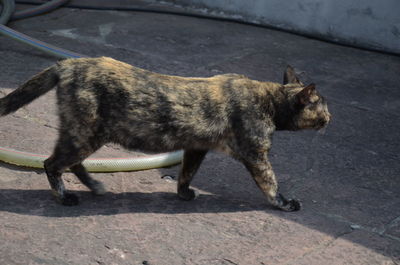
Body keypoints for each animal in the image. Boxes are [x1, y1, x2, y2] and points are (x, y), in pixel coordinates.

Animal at [0, 57, 332, 210]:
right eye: (323, 105)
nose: (331, 117)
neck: (270, 99)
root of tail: (68, 63)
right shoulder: (256, 154)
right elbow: (270, 183)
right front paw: (284, 203)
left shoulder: (196, 147)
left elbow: (187, 172)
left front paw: (183, 193)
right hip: (85, 134)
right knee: (52, 163)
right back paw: (65, 197)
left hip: (82, 134)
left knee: (71, 163)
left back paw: (95, 185)